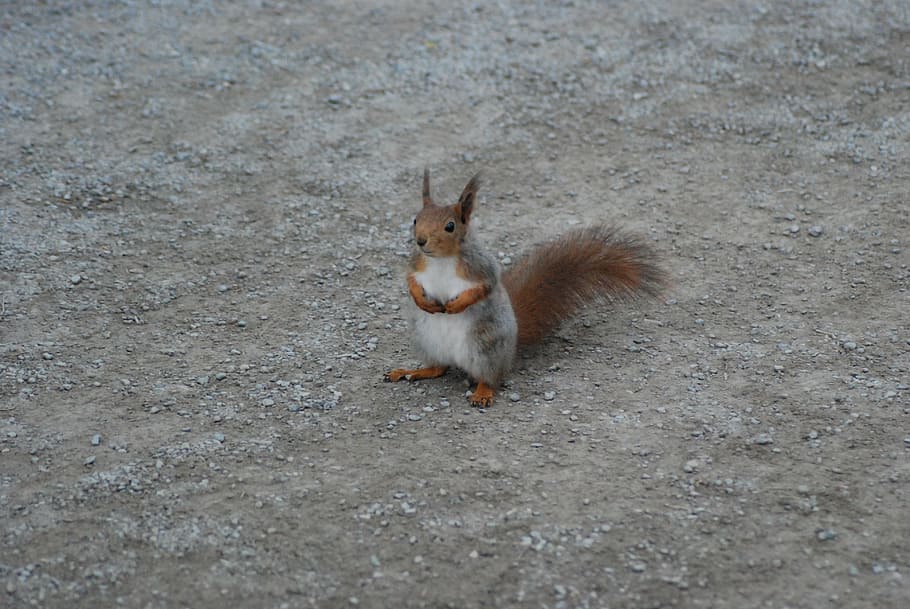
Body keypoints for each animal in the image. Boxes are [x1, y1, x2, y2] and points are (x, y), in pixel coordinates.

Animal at [384, 170, 667, 407]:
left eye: (450, 226)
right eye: (415, 219)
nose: (421, 241)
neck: (441, 259)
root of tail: (511, 349)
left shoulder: (482, 268)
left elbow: (483, 288)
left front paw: (456, 305)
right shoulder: (416, 265)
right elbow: (410, 281)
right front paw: (422, 300)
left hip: (485, 346)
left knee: (491, 377)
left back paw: (483, 392)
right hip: (426, 340)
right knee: (438, 368)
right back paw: (411, 371)